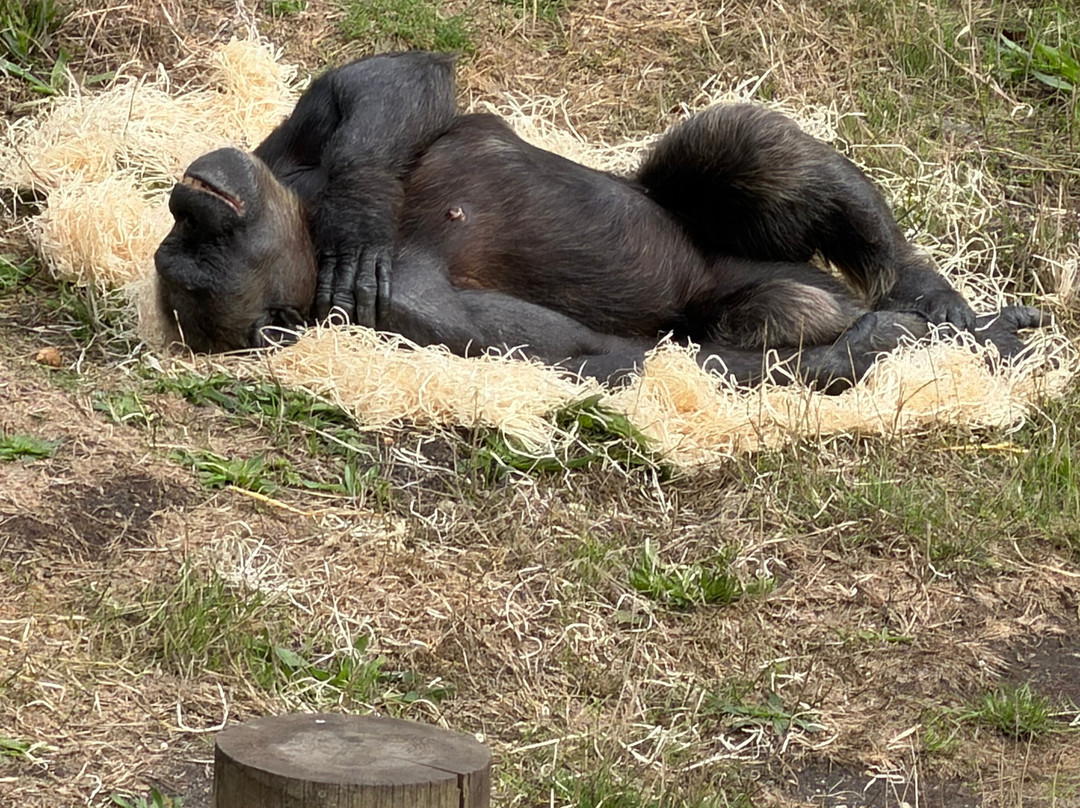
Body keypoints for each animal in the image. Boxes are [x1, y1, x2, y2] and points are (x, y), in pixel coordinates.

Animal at [154, 51, 1044, 392]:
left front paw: (358, 215)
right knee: (769, 310)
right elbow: (622, 361)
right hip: (762, 295)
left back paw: (936, 297)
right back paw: (926, 327)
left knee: (749, 147)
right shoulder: (427, 314)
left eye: (184, 243)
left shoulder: (287, 154)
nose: (185, 207)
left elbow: (375, 82)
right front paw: (889, 347)